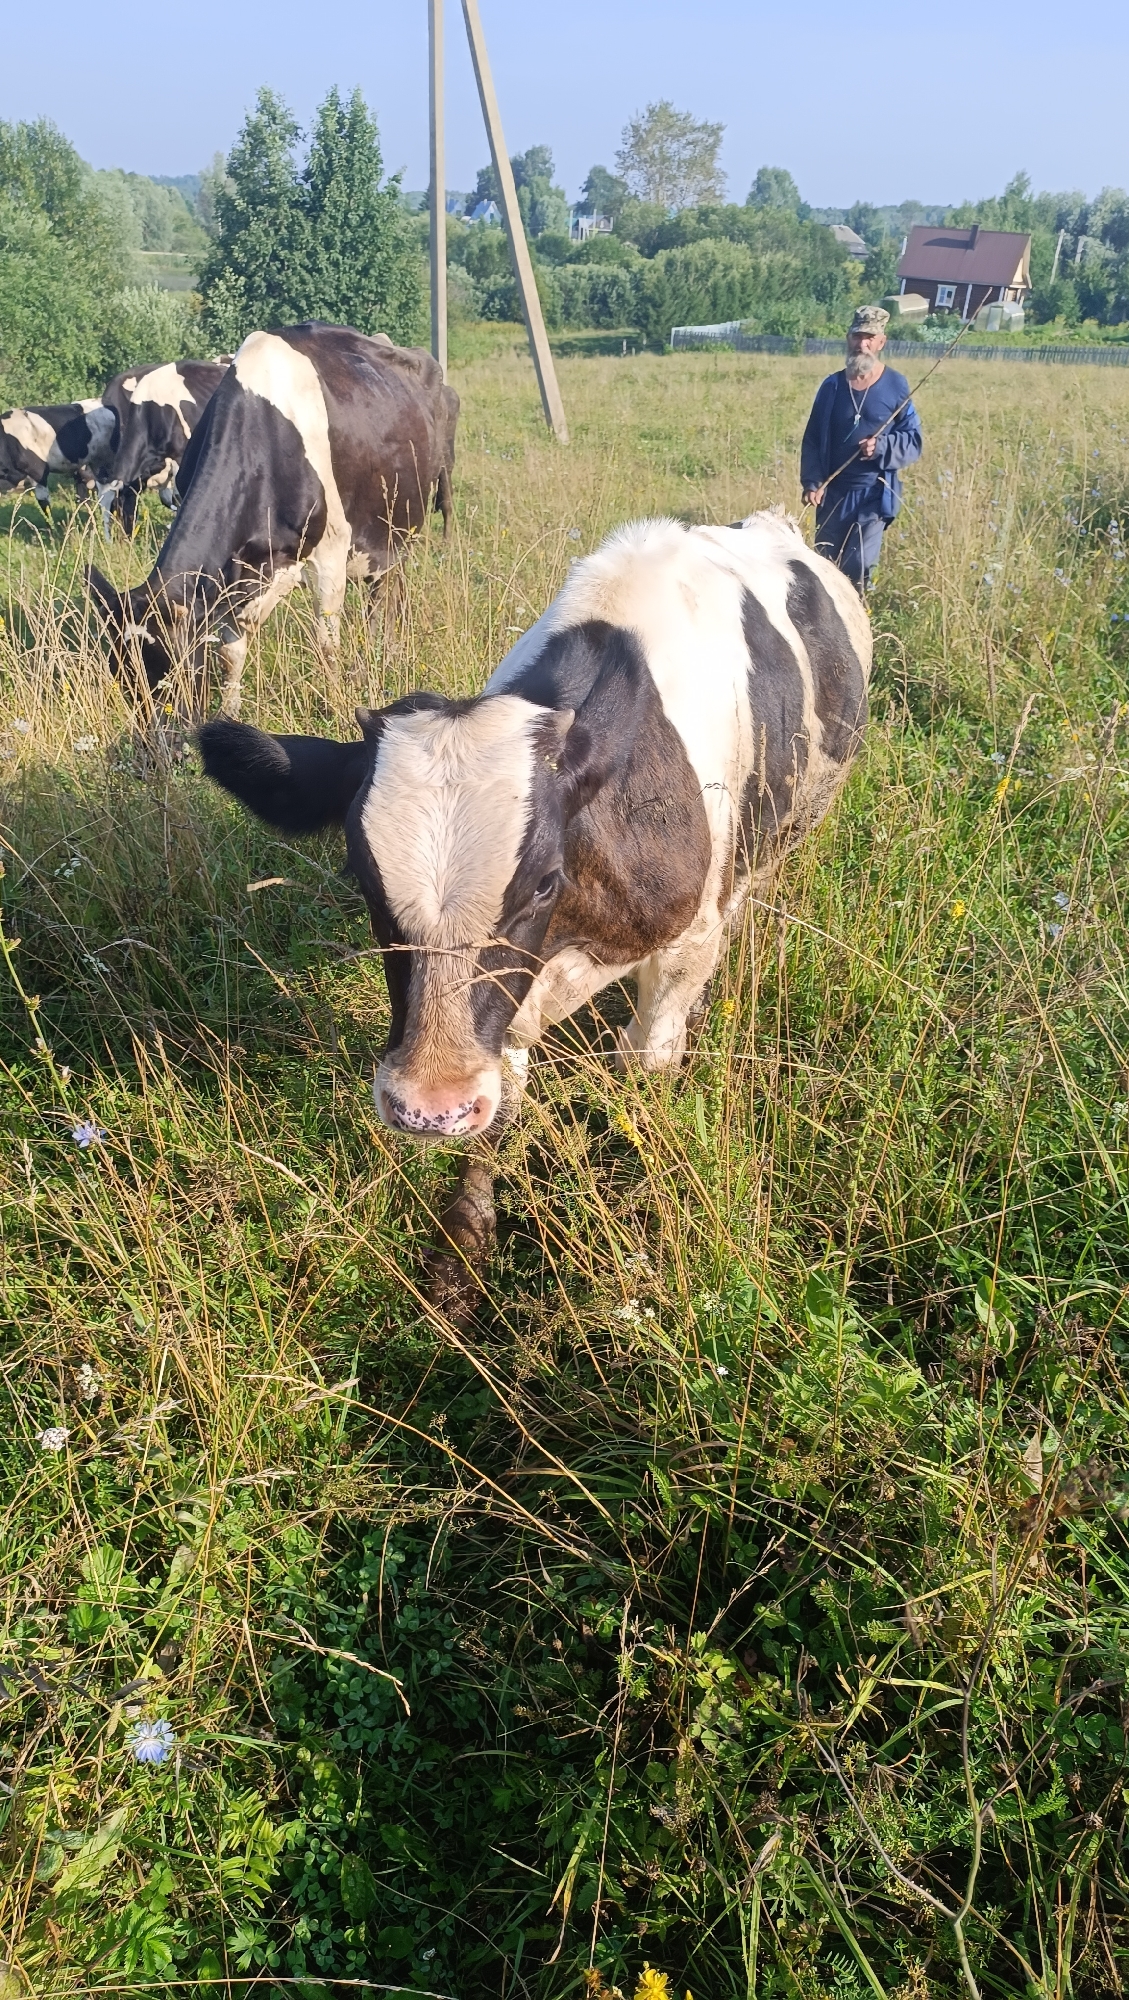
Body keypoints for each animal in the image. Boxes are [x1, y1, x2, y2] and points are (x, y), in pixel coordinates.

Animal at [198, 510, 872, 1313]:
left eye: (546, 880)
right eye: (361, 876)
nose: (429, 1107)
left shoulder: (685, 940)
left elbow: (647, 1062)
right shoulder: (506, 1001)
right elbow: (504, 1088)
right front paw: (464, 1244)